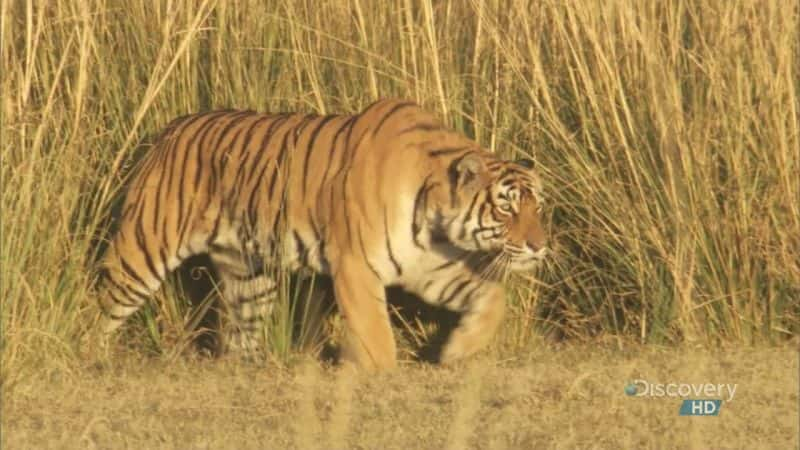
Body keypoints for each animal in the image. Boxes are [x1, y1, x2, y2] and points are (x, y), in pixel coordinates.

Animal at [97, 98, 548, 370]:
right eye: (506, 207)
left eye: (537, 206)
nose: (539, 247)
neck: (434, 219)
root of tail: (169, 129)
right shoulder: (356, 266)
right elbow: (376, 334)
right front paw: (382, 373)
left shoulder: (429, 266)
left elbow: (492, 297)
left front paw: (457, 350)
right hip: (142, 251)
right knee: (105, 305)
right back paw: (88, 353)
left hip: (249, 277)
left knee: (240, 335)